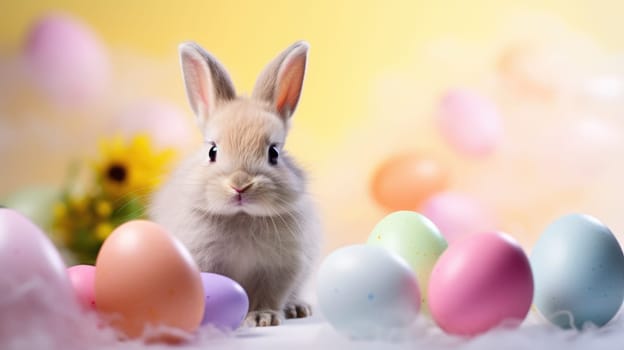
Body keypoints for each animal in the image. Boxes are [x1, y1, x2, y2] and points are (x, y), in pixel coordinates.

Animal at [148, 41, 320, 328]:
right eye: (212, 151)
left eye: (274, 152)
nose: (240, 185)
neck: (241, 216)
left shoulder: (279, 269)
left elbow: (268, 296)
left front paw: (262, 318)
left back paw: (299, 309)